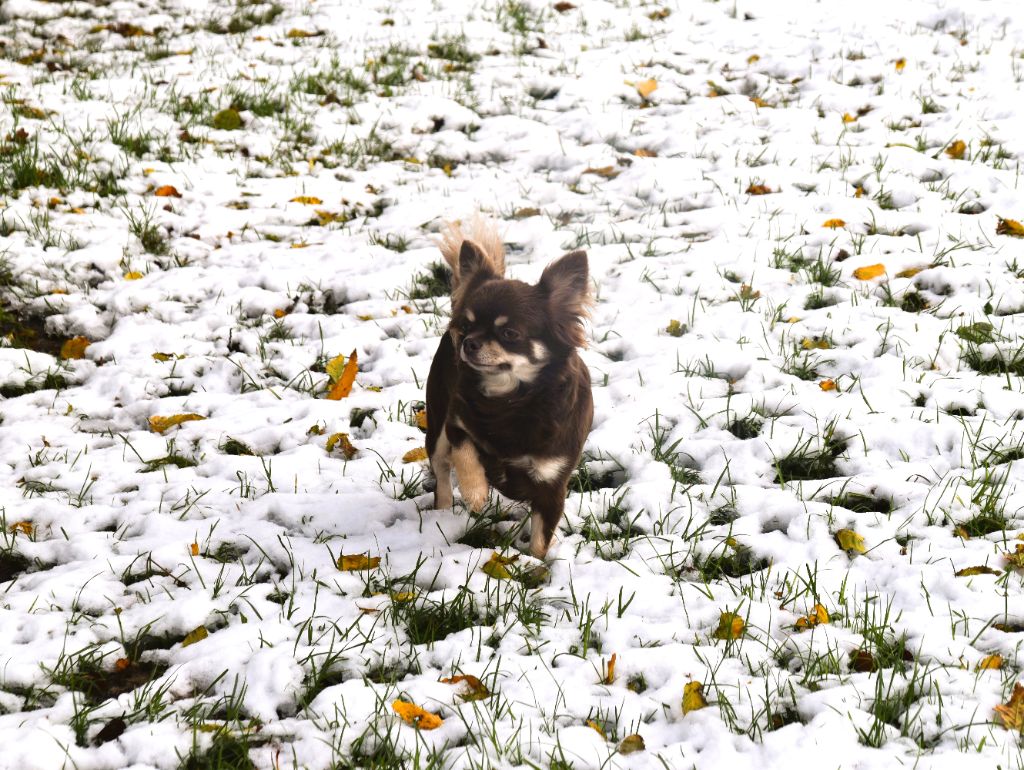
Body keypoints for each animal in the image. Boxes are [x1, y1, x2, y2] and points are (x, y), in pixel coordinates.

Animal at [423, 219, 593, 557]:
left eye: (510, 333)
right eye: (466, 326)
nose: (468, 342)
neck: (510, 401)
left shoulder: (552, 486)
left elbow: (541, 538)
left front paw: (537, 563)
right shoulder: (457, 423)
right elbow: (466, 454)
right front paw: (476, 493)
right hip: (436, 427)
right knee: (442, 470)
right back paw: (444, 511)